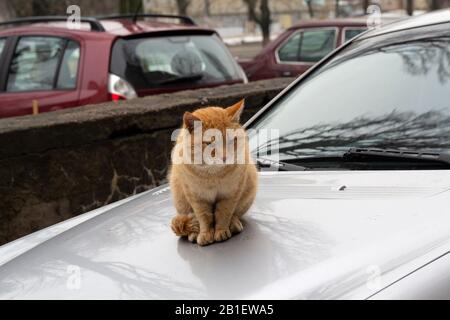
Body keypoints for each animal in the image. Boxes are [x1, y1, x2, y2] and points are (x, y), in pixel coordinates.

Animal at [169, 100, 258, 245]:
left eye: (230, 140)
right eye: (209, 143)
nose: (225, 157)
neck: (213, 174)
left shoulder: (230, 194)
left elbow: (224, 213)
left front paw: (221, 231)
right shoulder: (197, 198)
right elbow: (204, 217)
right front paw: (205, 234)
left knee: (235, 214)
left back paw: (234, 224)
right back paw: (194, 233)